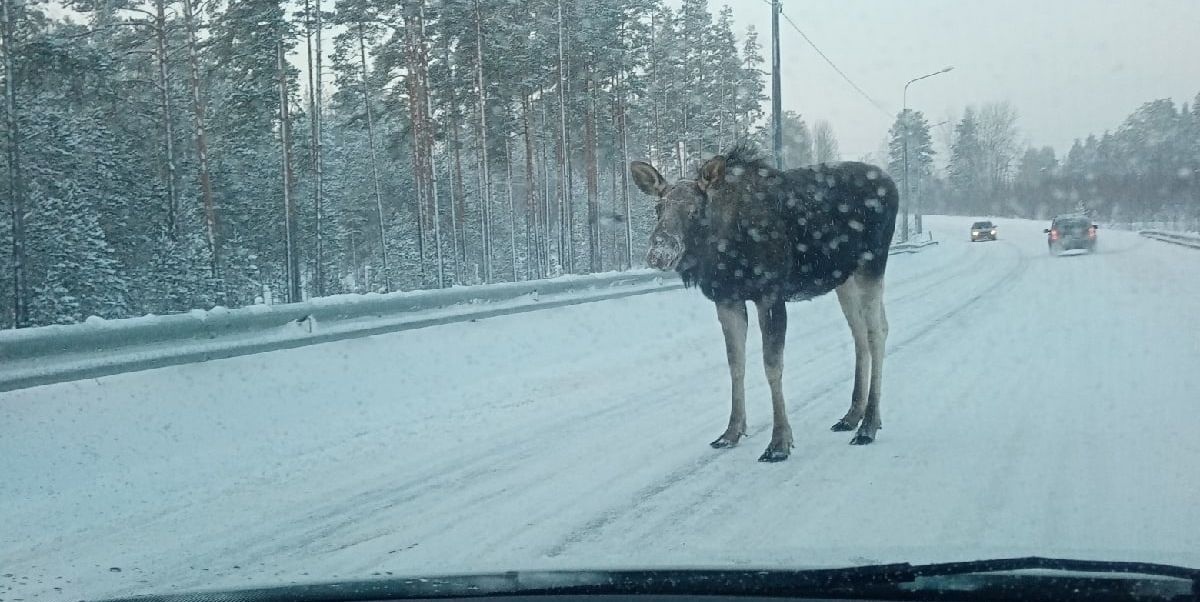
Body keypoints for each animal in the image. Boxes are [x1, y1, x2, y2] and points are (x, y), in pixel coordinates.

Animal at [633, 146, 897, 460]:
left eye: (694, 211)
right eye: (658, 209)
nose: (659, 253)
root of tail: (893, 185)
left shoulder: (769, 294)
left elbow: (772, 364)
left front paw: (779, 442)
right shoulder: (727, 298)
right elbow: (736, 363)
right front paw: (731, 432)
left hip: (872, 264)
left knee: (876, 332)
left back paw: (868, 425)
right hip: (844, 279)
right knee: (861, 333)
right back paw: (852, 415)